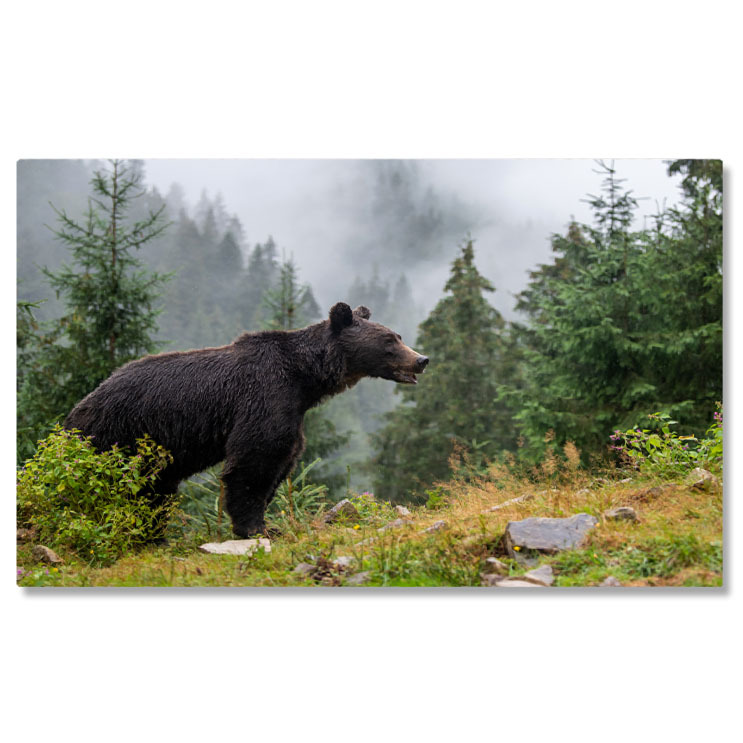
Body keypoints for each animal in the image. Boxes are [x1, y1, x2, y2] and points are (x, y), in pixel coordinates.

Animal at [64, 303, 429, 538]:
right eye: (389, 341)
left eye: (397, 336)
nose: (421, 359)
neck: (305, 380)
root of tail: (77, 410)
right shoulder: (263, 396)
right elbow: (255, 459)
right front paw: (255, 527)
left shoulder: (292, 410)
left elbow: (284, 459)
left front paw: (269, 522)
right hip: (117, 436)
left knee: (155, 491)